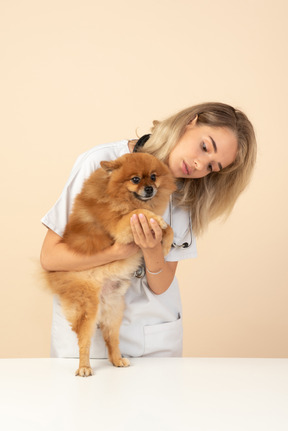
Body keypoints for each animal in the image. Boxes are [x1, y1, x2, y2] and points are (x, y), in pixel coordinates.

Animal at [44, 154, 177, 376]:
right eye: (135, 179)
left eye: (153, 176)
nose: (150, 188)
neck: (119, 195)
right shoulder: (120, 226)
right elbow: (139, 212)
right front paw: (156, 220)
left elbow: (169, 228)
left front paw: (165, 243)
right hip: (88, 309)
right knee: (84, 343)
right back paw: (84, 367)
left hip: (115, 312)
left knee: (111, 340)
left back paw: (117, 360)